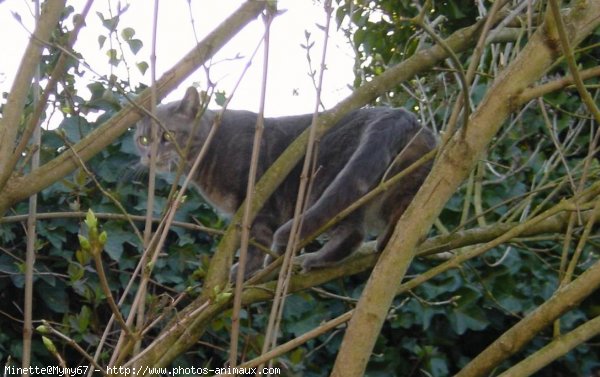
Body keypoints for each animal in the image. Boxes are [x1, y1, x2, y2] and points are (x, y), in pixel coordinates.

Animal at [136, 86, 436, 278]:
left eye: (167, 136)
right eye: (142, 139)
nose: (149, 154)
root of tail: (399, 113)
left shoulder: (256, 203)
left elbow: (255, 242)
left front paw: (244, 272)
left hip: (329, 183)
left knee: (351, 232)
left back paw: (314, 258)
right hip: (402, 183)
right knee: (406, 216)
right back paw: (390, 243)